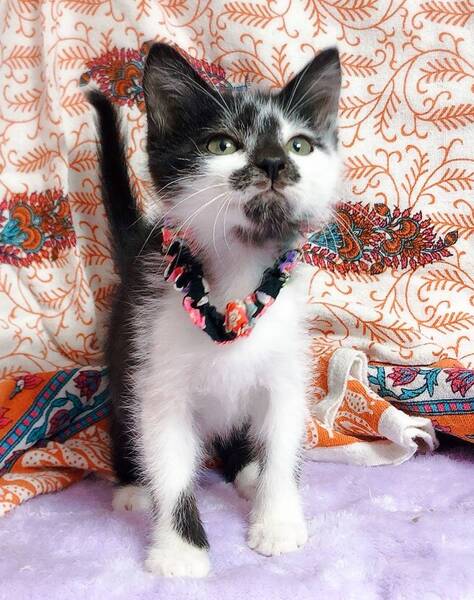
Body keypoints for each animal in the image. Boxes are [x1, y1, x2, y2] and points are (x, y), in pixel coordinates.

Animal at [88, 42, 341, 577]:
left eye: (300, 146)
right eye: (222, 146)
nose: (273, 162)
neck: (237, 277)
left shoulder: (287, 370)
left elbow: (284, 442)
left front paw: (277, 521)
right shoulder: (159, 377)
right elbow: (171, 466)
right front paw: (180, 551)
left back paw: (248, 470)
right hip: (125, 355)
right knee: (125, 421)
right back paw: (132, 486)